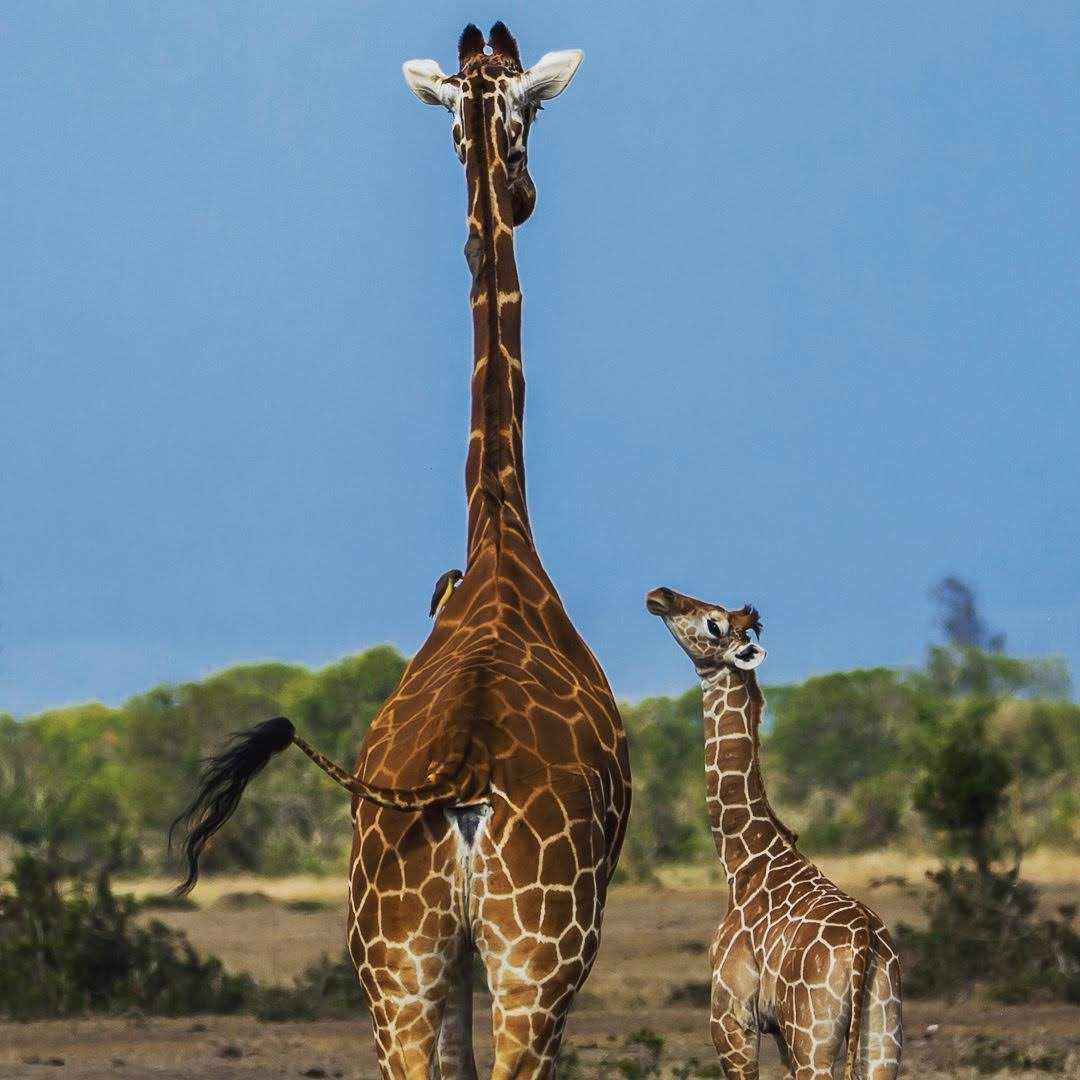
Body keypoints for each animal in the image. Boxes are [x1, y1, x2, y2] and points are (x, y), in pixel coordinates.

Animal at [172, 22, 630, 1080]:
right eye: (531, 116)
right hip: (538, 955)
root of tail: (458, 775)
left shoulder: (435, 961)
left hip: (394, 960)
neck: (499, 528)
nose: (523, 194)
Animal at [645, 587, 902, 1080]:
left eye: (714, 624)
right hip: (883, 1035)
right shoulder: (780, 1033)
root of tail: (865, 948)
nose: (659, 595)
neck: (744, 862)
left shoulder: (732, 1018)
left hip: (813, 1038)